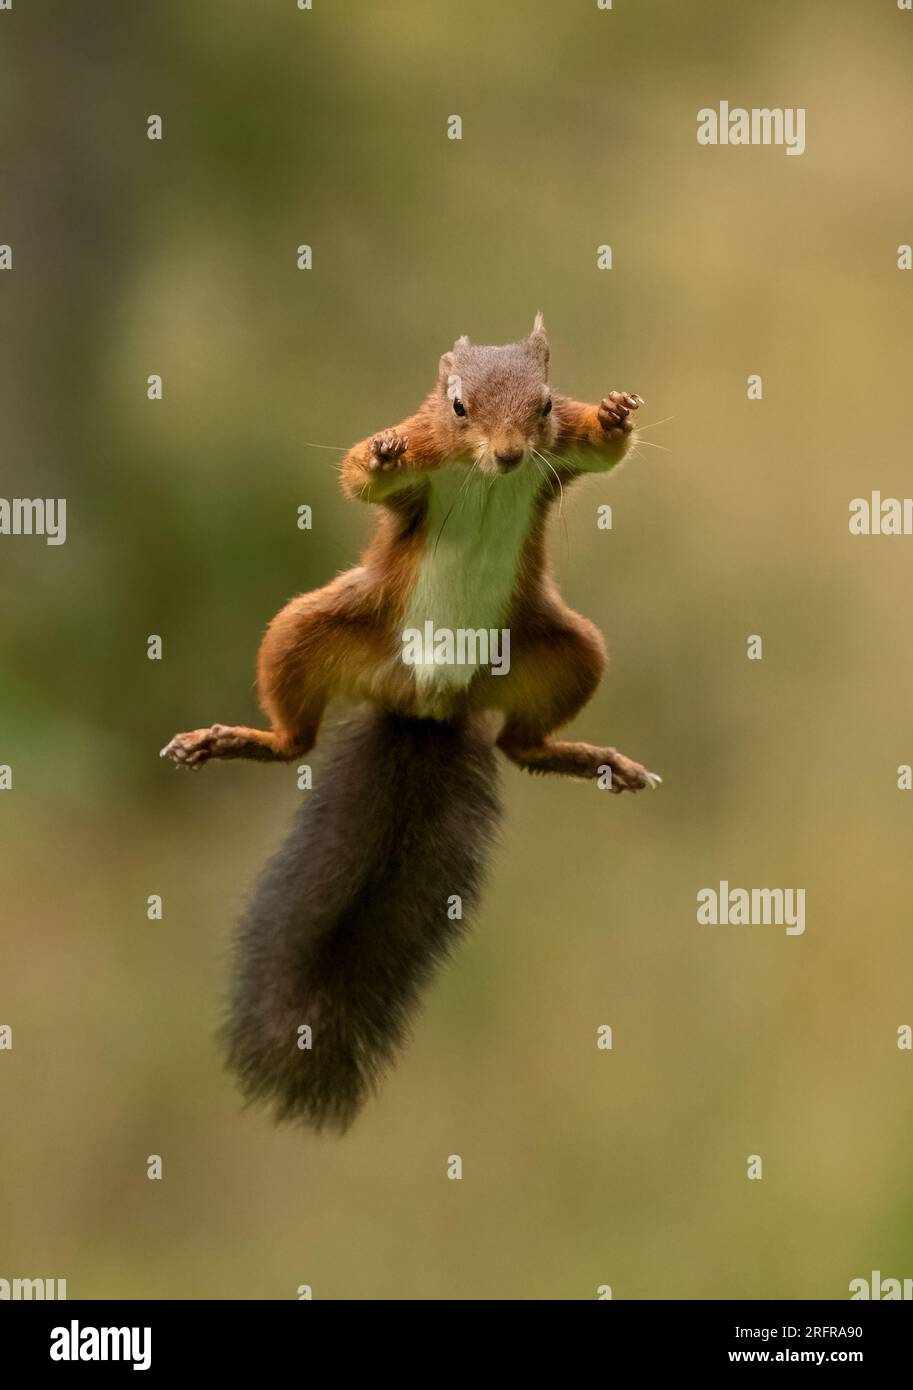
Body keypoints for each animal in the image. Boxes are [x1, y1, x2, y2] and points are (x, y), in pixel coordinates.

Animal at [161, 319, 655, 1134]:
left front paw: (616, 414)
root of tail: (429, 704)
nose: (509, 455)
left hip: (568, 652)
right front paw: (378, 453)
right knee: (294, 739)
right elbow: (359, 480)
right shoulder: (425, 455)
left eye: (546, 403)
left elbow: (605, 451)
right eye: (455, 406)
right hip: (305, 633)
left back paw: (590, 759)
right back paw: (232, 740)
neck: (489, 478)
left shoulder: (563, 448)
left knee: (520, 745)